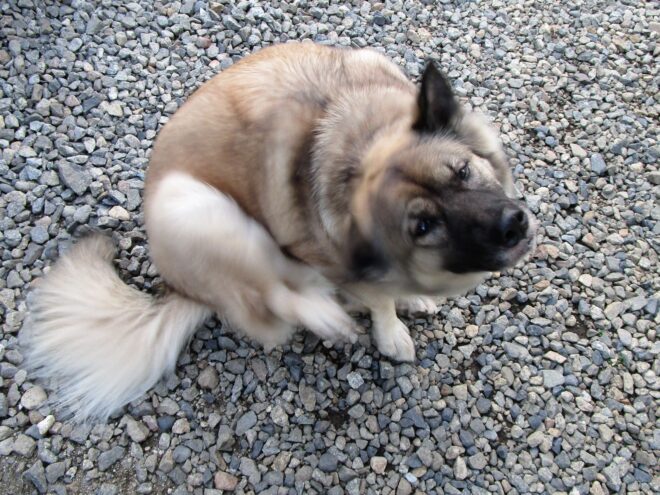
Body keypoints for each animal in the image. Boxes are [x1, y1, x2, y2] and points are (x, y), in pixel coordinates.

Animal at [20, 42, 536, 421]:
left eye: (463, 172)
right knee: (269, 296)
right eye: (424, 225)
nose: (514, 225)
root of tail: (179, 287)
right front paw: (389, 329)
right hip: (196, 208)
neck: (360, 140)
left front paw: (405, 299)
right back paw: (324, 311)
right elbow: (376, 299)